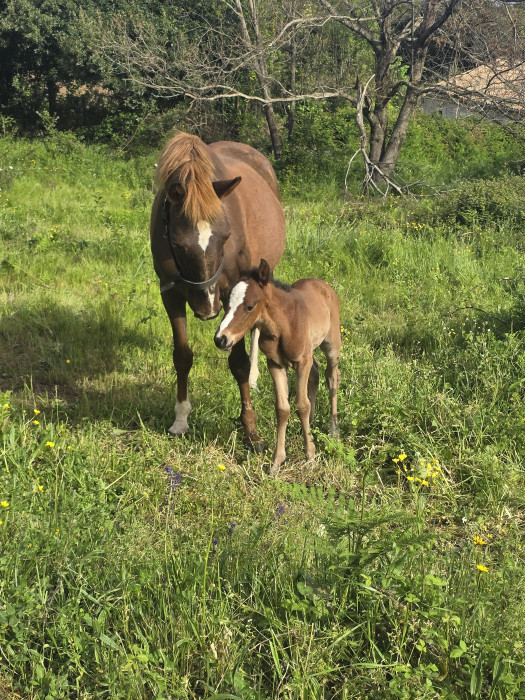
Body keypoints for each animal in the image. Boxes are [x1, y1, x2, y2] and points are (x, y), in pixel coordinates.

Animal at [149, 134, 284, 446]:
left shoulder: (234, 294)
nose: (208, 308)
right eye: (178, 243)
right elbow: (182, 356)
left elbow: (239, 362)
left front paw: (250, 429)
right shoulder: (170, 294)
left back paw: (257, 377)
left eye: (226, 235)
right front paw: (181, 418)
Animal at [214, 258, 342, 476]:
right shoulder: (275, 364)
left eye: (249, 306)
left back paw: (333, 429)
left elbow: (301, 404)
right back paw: (312, 423)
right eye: (226, 304)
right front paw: (276, 462)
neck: (283, 324)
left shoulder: (301, 362)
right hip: (310, 350)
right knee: (316, 372)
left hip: (331, 344)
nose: (221, 339)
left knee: (332, 376)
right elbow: (282, 408)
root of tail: (323, 284)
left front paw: (310, 455)